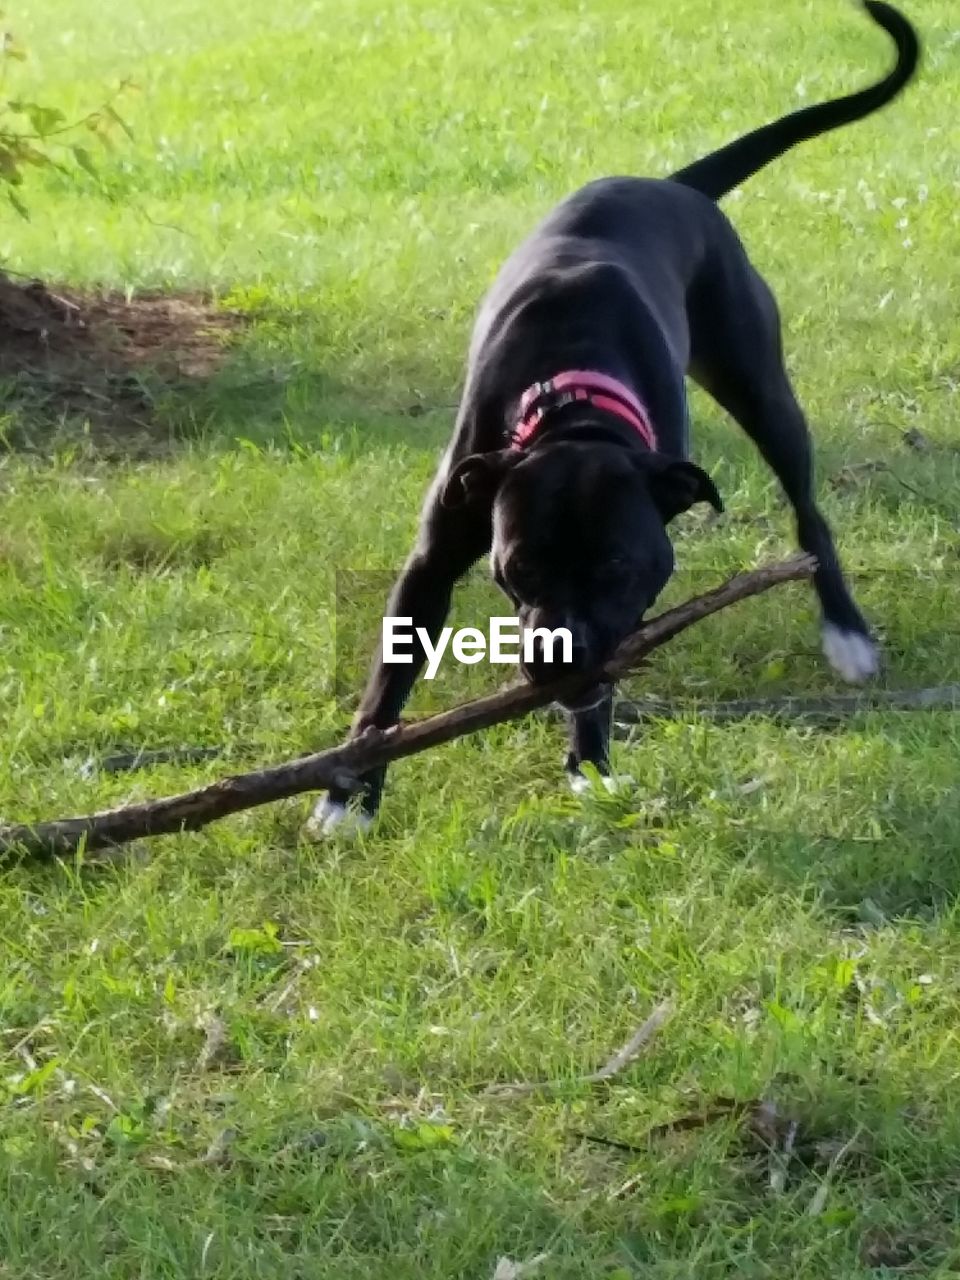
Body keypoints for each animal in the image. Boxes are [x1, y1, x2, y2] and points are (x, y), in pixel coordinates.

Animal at [312, 0, 921, 834]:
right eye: (519, 566)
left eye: (618, 567)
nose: (560, 656)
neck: (573, 409)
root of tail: (671, 186)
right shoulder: (435, 552)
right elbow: (389, 676)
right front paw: (348, 796)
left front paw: (592, 762)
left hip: (760, 384)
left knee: (809, 511)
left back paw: (847, 633)